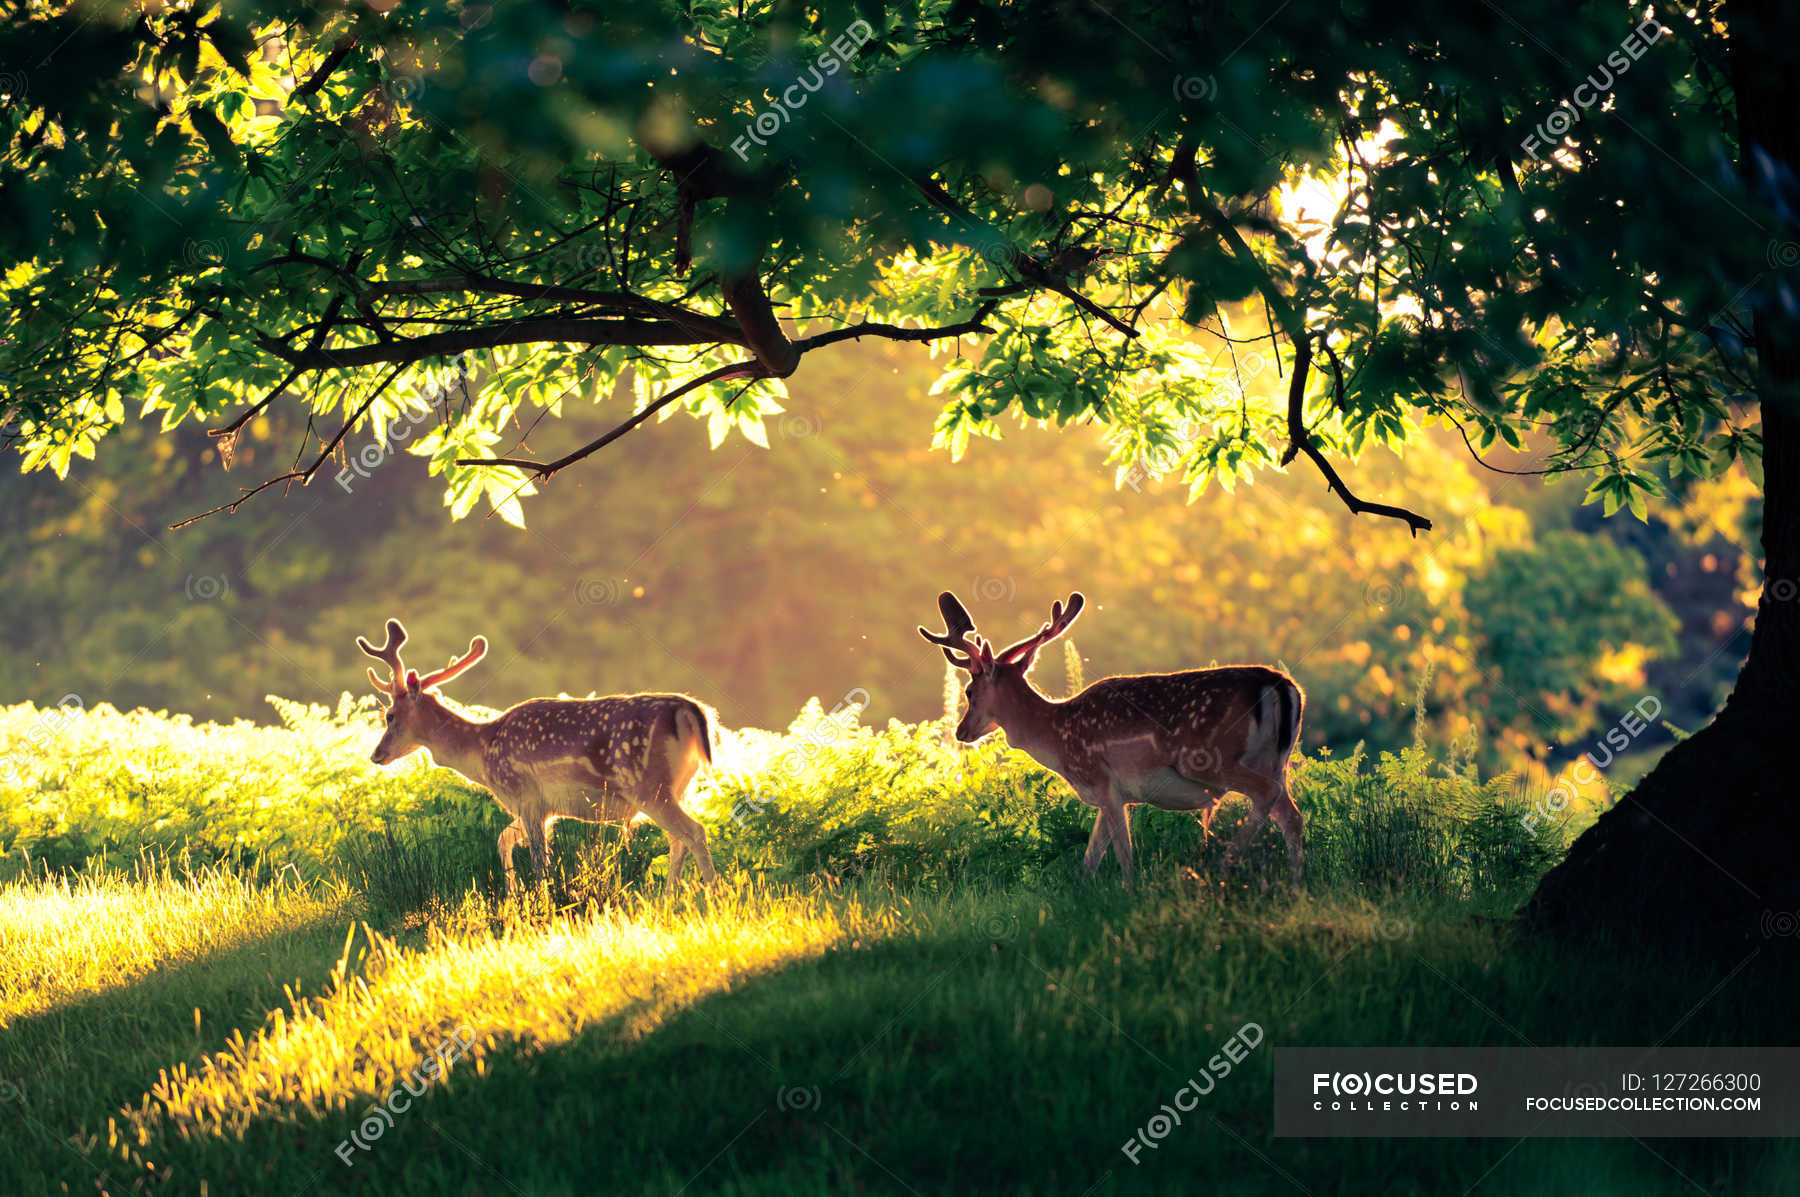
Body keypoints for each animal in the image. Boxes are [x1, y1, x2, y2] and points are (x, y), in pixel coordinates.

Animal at [351, 619, 716, 892]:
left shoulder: (525, 795)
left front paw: (540, 904)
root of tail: (690, 710)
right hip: (680, 786)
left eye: (389, 716)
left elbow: (540, 862)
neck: (483, 753)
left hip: (647, 785)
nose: (376, 754)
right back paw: (668, 900)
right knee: (678, 839)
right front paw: (513, 895)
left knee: (694, 831)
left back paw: (714, 895)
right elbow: (503, 839)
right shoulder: (543, 808)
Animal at [921, 590, 1303, 885]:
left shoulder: (1105, 783)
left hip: (1209, 757)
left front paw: (1131, 892)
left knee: (1265, 795)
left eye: (970, 691)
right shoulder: (1114, 795)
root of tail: (1281, 685)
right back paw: (1297, 883)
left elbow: (1124, 856)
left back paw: (1224, 864)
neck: (1055, 737)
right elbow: (1090, 860)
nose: (962, 731)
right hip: (1276, 762)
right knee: (1292, 816)